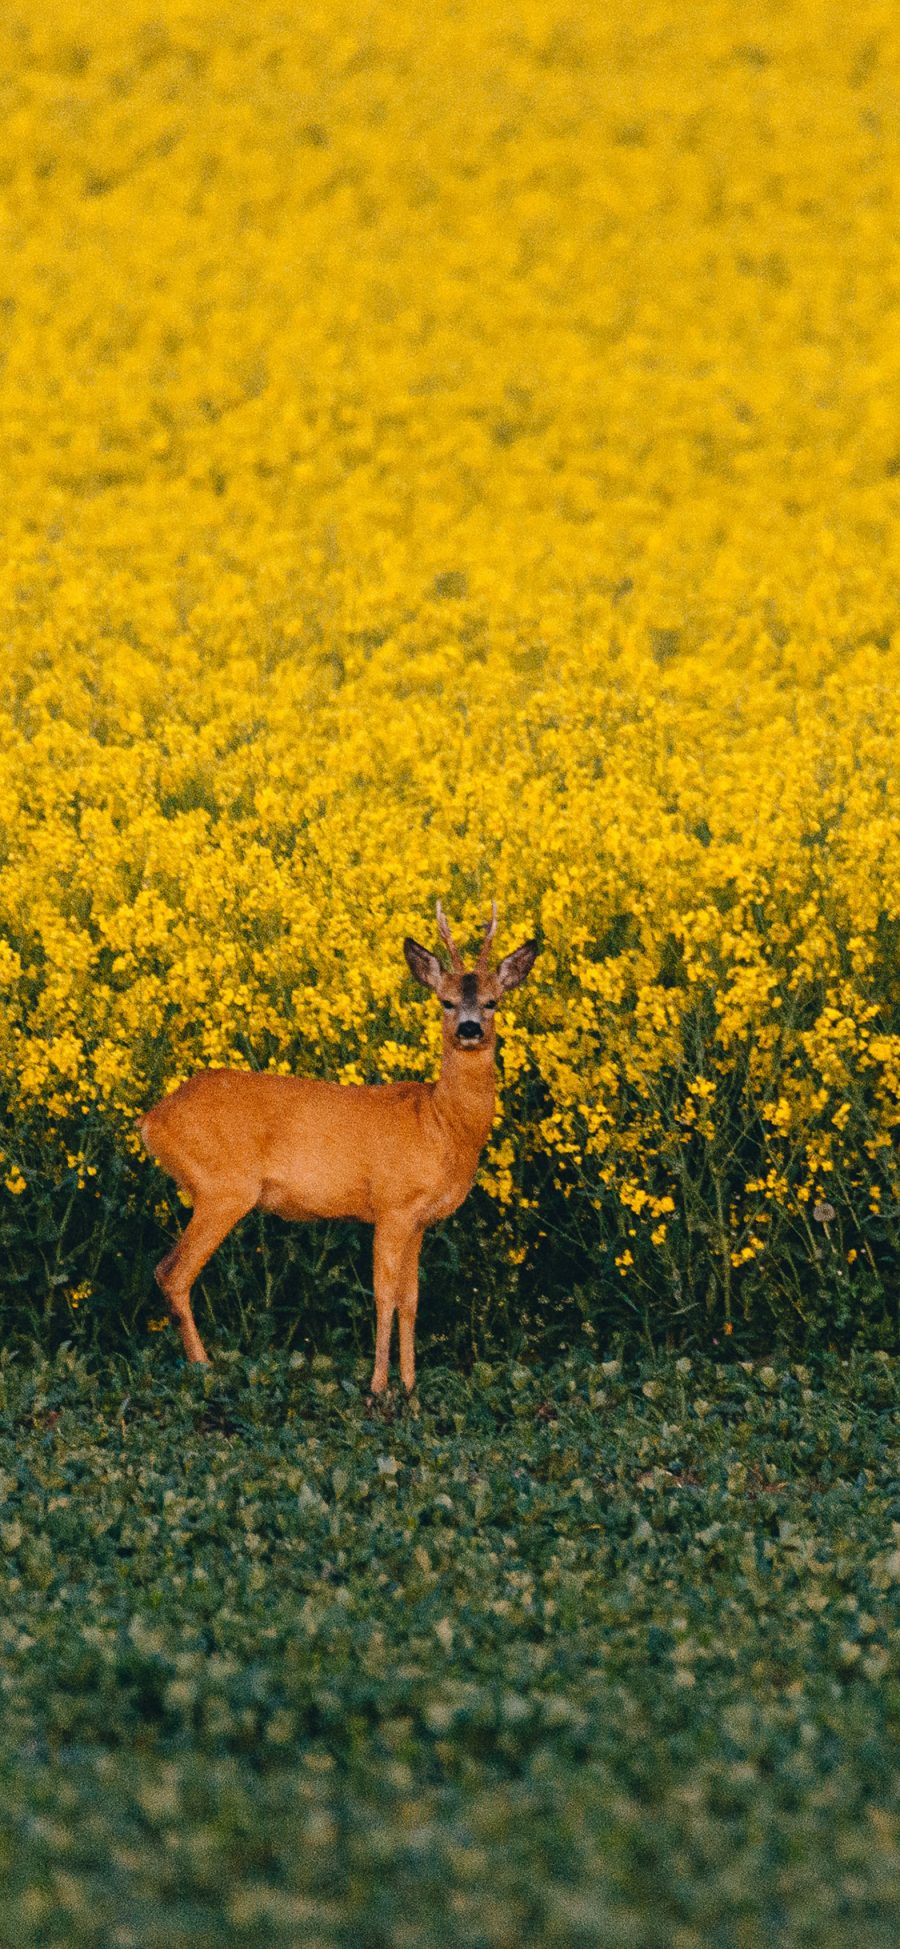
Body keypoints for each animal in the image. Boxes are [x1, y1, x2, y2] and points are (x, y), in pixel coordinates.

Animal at [137, 904, 537, 1395]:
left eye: (493, 1001)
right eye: (444, 1001)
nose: (469, 1028)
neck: (440, 1124)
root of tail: (152, 1119)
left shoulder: (419, 1220)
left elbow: (411, 1298)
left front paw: (410, 1387)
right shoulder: (392, 1205)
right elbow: (384, 1294)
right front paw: (379, 1387)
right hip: (222, 1187)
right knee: (172, 1272)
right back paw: (204, 1369)